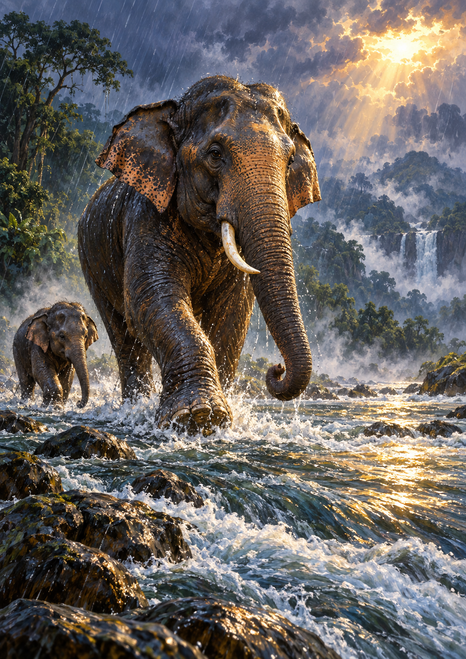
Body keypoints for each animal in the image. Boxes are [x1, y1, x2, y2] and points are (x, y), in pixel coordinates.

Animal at [78, 75, 320, 432]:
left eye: (289, 161)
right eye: (215, 154)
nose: (276, 370)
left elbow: (232, 313)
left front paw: (217, 419)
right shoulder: (147, 216)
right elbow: (151, 297)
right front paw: (198, 416)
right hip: (92, 260)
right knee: (124, 337)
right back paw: (133, 409)